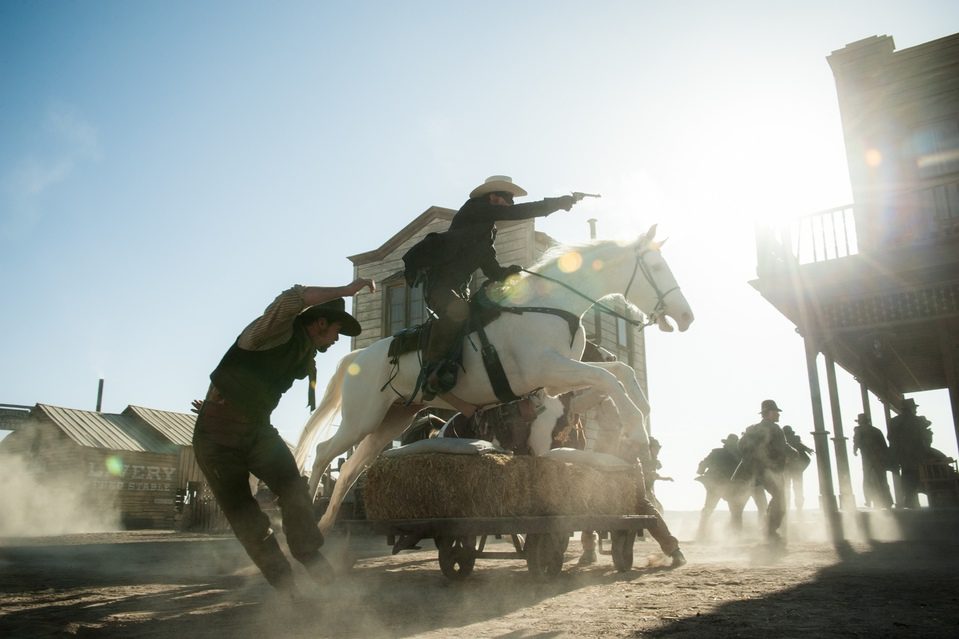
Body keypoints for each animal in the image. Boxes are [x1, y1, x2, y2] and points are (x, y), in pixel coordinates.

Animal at [292, 226, 688, 536]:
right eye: (656, 267)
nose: (686, 316)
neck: (551, 305)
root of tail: (357, 357)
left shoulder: (560, 380)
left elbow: (619, 374)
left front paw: (639, 417)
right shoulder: (550, 369)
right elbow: (609, 378)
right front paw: (635, 432)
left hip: (391, 420)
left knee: (351, 467)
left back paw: (325, 526)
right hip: (363, 418)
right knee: (324, 452)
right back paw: (308, 520)